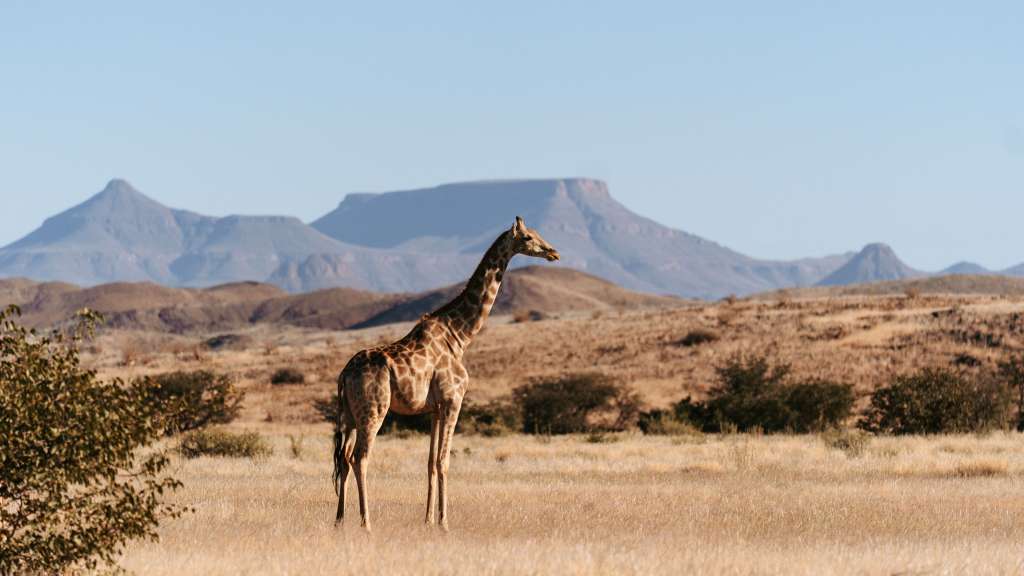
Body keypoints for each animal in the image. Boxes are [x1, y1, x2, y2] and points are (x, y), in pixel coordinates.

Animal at [332, 216, 560, 531]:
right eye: (527, 237)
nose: (553, 252)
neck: (460, 335)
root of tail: (344, 375)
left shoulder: (435, 408)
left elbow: (430, 462)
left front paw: (427, 520)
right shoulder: (454, 399)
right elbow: (444, 461)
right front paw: (444, 522)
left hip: (350, 415)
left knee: (342, 457)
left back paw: (339, 521)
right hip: (374, 410)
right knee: (360, 457)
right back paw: (367, 523)